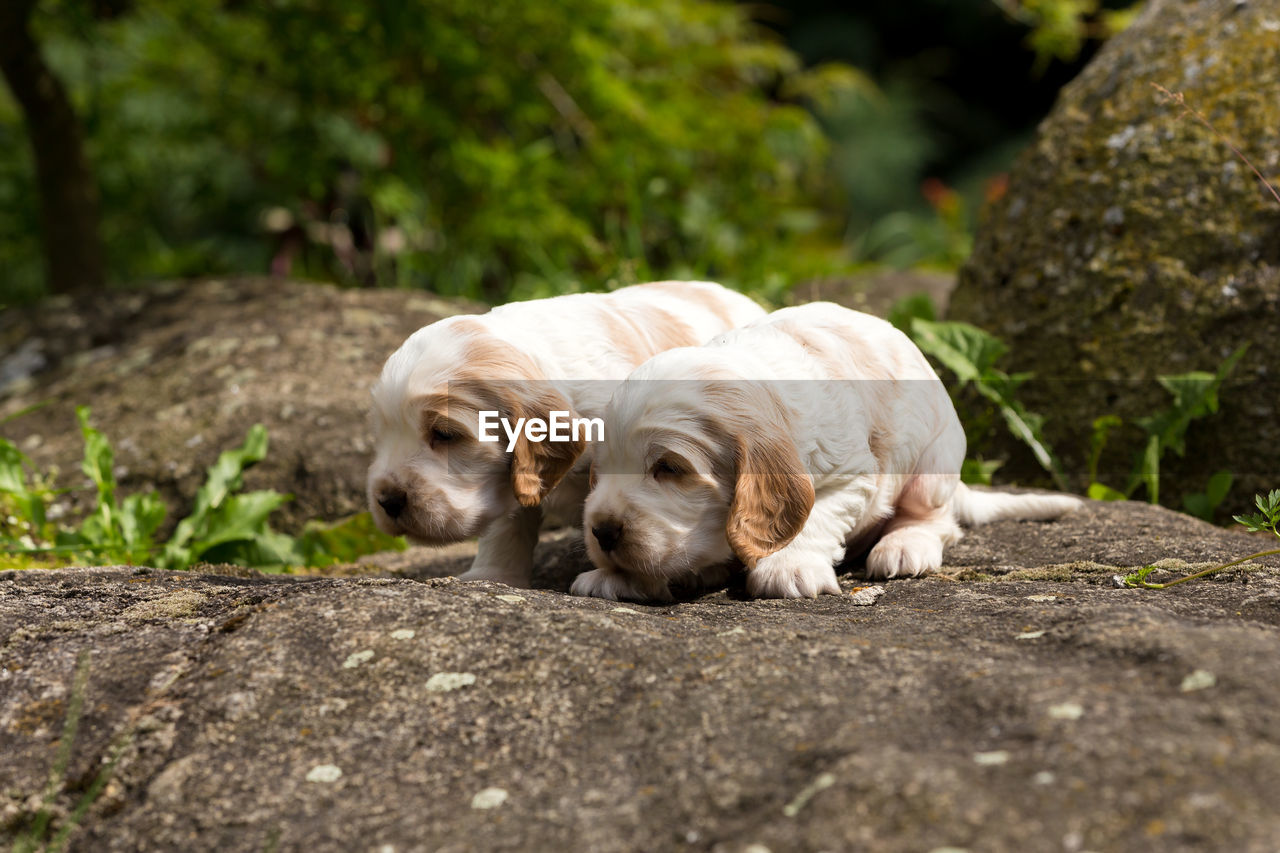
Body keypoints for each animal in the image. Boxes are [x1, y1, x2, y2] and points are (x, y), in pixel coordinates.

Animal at [570, 302, 1080, 601]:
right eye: (598, 473)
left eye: (669, 468)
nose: (603, 532)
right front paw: (616, 579)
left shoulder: (851, 474)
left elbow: (813, 517)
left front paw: (789, 566)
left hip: (934, 462)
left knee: (936, 521)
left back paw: (904, 546)